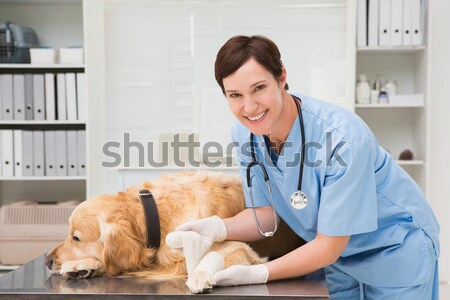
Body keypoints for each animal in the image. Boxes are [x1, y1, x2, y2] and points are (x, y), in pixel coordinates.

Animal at [44, 171, 302, 292]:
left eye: (76, 238)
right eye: (68, 234)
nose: (46, 260)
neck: (155, 215)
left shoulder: (241, 247)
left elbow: (212, 255)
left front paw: (200, 274)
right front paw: (79, 266)